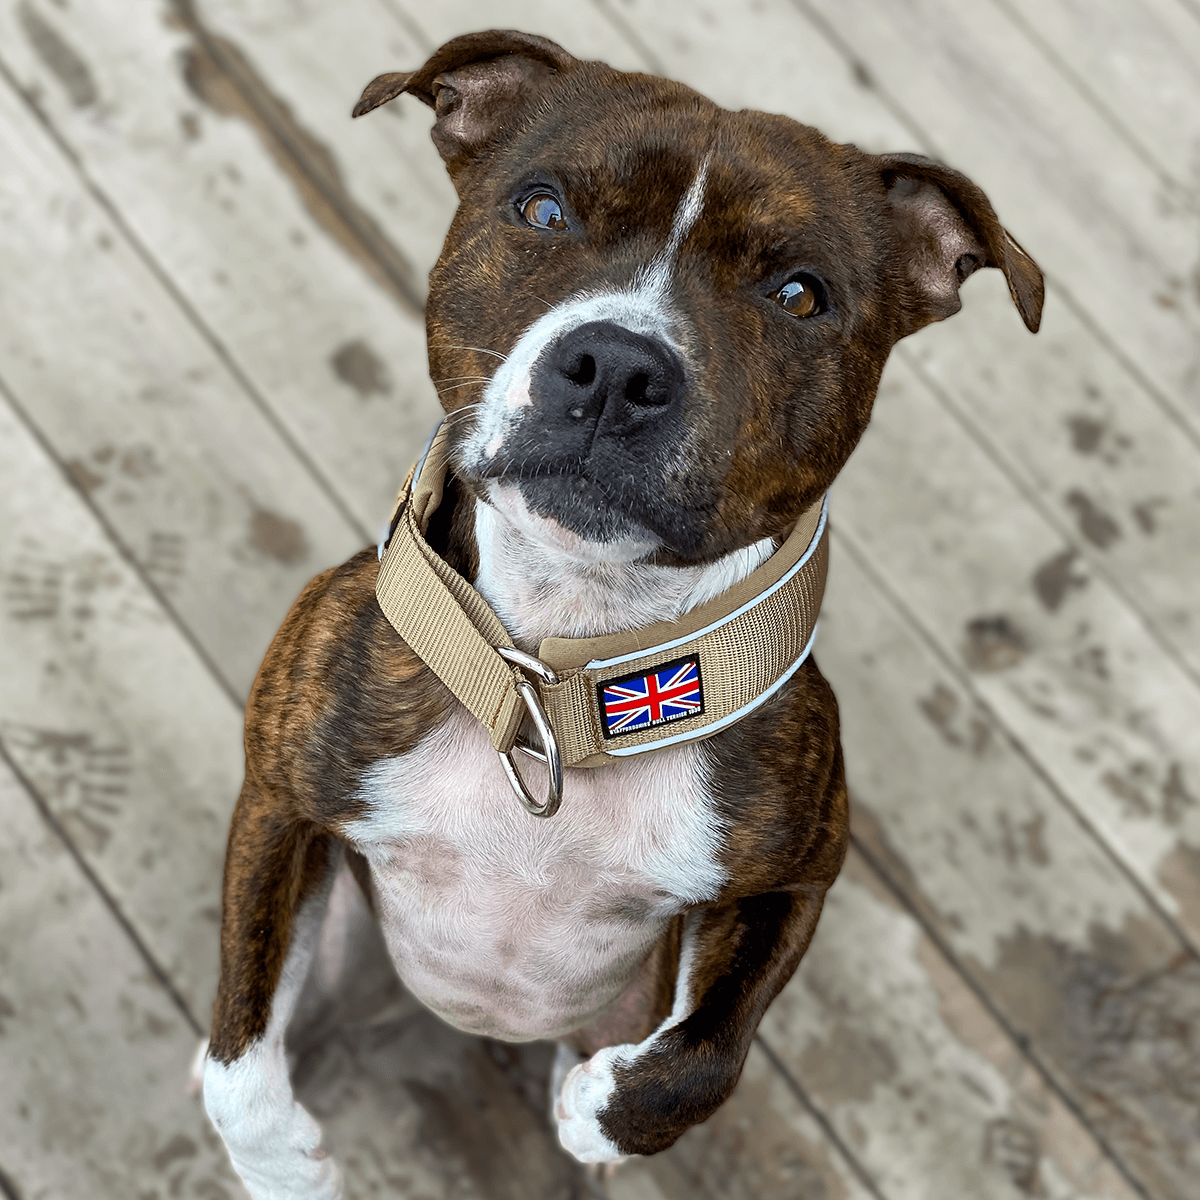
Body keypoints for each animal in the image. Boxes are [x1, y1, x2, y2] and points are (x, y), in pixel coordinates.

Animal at [199, 30, 1041, 1200]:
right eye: (545, 211)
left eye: (800, 294)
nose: (618, 366)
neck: (563, 667)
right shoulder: (282, 796)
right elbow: (235, 1053)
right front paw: (284, 1164)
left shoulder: (799, 869)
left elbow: (709, 1052)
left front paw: (603, 1113)